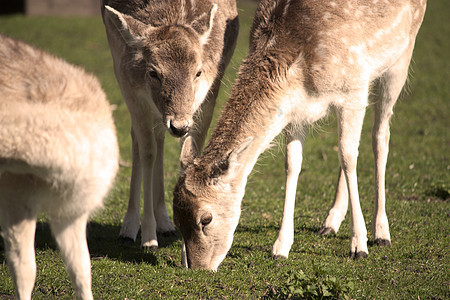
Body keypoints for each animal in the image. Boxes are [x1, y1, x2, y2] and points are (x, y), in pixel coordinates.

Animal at [101, 0, 239, 250]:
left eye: (198, 71)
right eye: (153, 72)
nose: (180, 126)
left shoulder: (212, 87)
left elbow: (190, 154)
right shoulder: (129, 85)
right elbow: (147, 153)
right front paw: (148, 238)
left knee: (159, 136)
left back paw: (165, 223)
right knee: (139, 139)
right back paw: (130, 227)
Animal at [172, 0, 426, 270]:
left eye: (206, 219)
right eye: (176, 219)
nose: (198, 268)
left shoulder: (354, 87)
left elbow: (348, 158)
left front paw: (359, 245)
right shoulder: (296, 111)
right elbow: (293, 165)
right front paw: (280, 248)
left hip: (401, 55)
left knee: (380, 136)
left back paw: (381, 232)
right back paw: (331, 222)